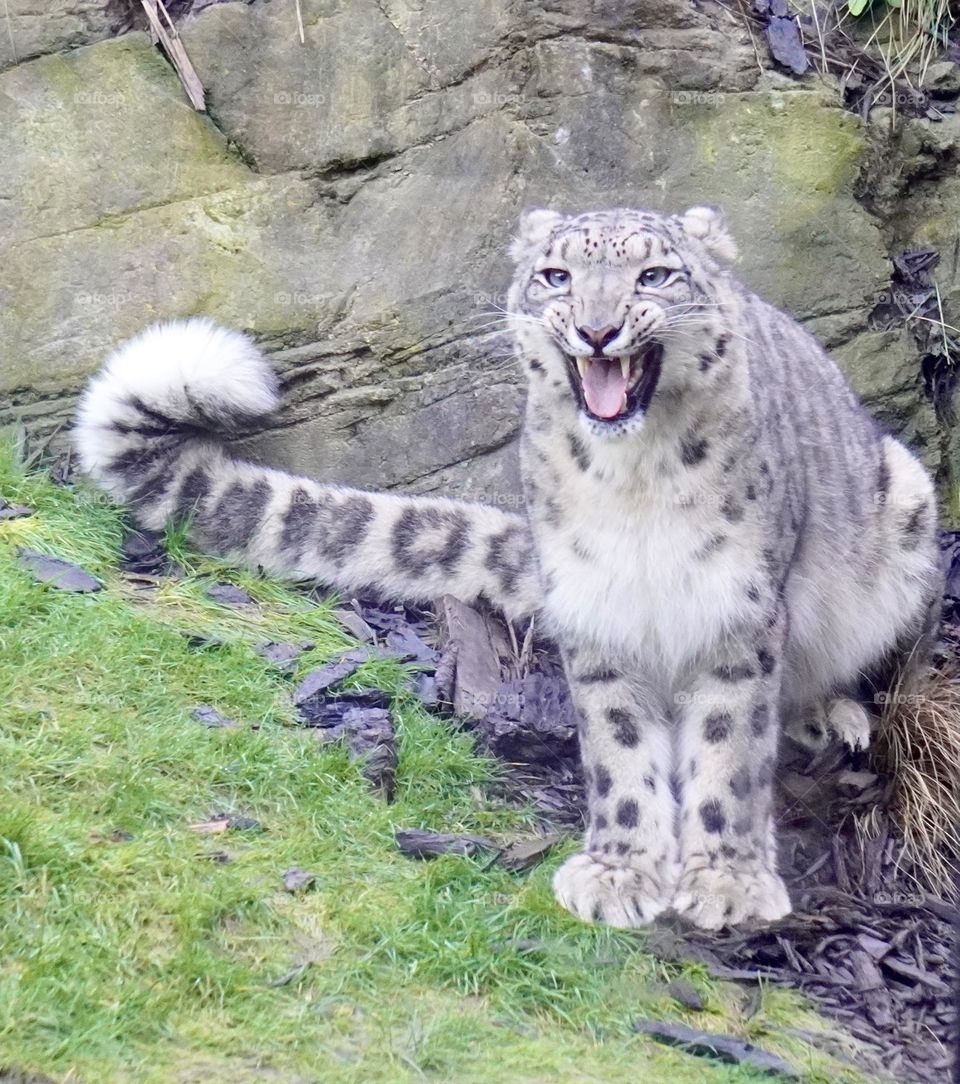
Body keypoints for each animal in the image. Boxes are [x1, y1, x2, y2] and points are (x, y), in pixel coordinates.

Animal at [74, 204, 942, 930]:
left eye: (654, 275)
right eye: (556, 275)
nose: (597, 330)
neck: (636, 483)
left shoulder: (738, 612)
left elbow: (730, 754)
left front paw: (725, 884)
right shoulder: (597, 613)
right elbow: (619, 752)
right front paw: (620, 872)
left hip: (906, 509)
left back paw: (831, 714)